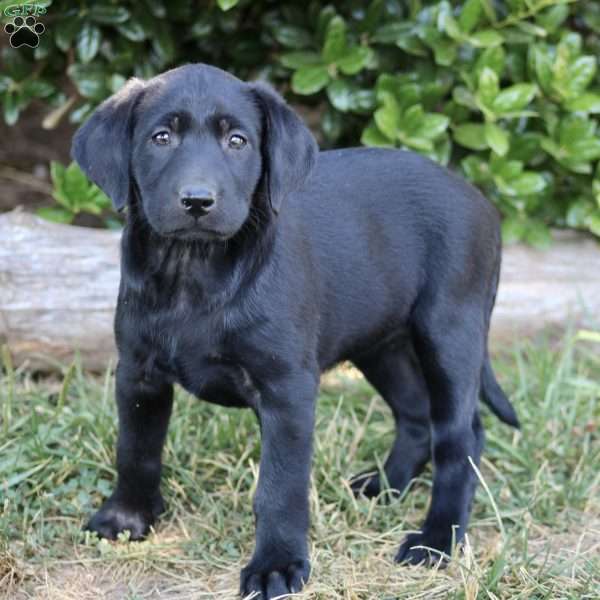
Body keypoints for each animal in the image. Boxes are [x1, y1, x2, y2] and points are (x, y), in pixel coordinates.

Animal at [72, 63, 516, 596]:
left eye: (238, 141)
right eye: (160, 137)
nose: (197, 201)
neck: (194, 272)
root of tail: (482, 202)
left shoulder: (287, 389)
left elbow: (280, 487)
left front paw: (276, 565)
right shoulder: (138, 372)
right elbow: (136, 448)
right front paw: (127, 517)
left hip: (449, 329)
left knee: (459, 435)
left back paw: (436, 539)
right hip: (380, 342)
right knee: (416, 413)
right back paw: (383, 485)